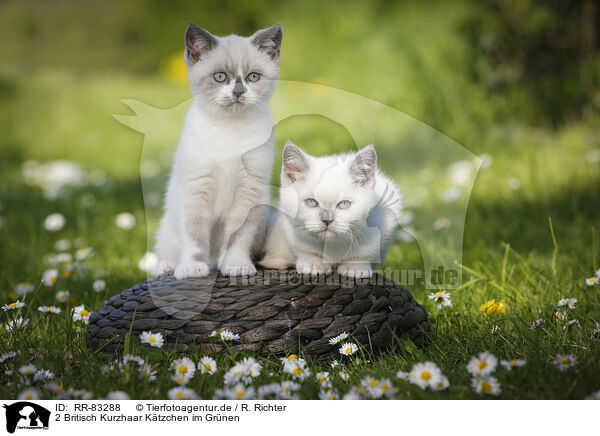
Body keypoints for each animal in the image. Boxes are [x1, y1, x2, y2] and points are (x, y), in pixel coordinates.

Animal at [157, 23, 284, 280]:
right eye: (220, 77)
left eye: (253, 77)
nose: (238, 92)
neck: (230, 130)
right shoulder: (195, 190)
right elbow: (194, 235)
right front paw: (192, 268)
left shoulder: (249, 194)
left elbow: (237, 236)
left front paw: (236, 265)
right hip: (168, 225)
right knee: (169, 246)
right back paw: (168, 265)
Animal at [262, 143, 404, 280]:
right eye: (311, 202)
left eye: (344, 204)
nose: (327, 220)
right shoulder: (287, 221)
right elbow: (301, 246)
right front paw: (313, 262)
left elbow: (369, 251)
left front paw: (356, 266)